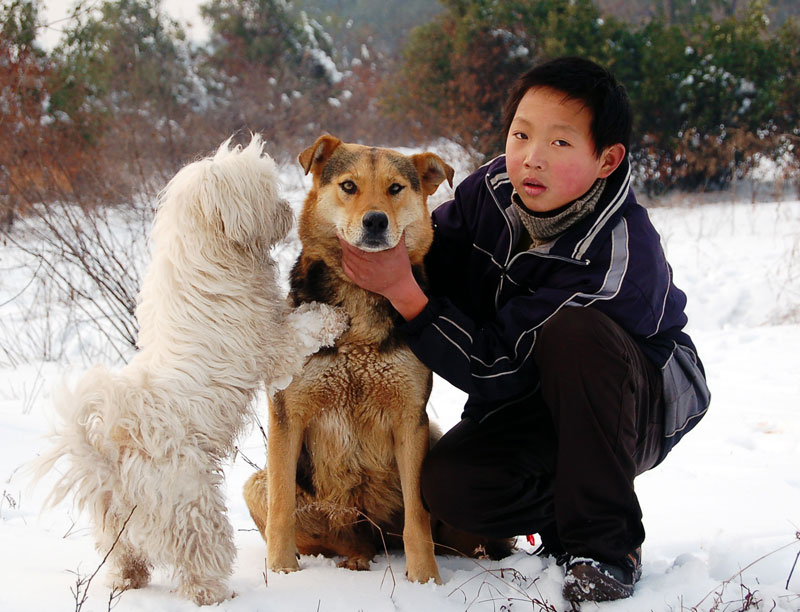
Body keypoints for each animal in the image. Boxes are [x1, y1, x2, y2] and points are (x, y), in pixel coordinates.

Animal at [34, 136, 346, 604]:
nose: (285, 208)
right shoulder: (270, 346)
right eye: (263, 191)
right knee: (200, 562)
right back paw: (218, 594)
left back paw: (128, 581)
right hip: (193, 507)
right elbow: (302, 328)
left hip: (115, 526)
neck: (209, 252)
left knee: (123, 557)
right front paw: (333, 318)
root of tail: (113, 461)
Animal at [242, 134, 512, 584]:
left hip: (432, 444)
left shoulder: (409, 419)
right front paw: (281, 574)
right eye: (348, 186)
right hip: (264, 487)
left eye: (395, 188)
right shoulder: (287, 414)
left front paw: (425, 580)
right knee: (340, 536)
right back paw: (354, 557)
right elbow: (282, 510)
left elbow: (417, 518)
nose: (375, 222)